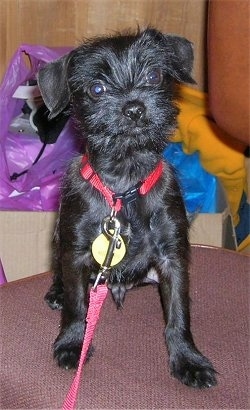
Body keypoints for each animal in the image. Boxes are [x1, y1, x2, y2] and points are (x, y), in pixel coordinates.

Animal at [38, 28, 217, 388]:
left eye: (154, 76)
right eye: (97, 89)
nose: (134, 108)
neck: (124, 184)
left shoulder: (173, 257)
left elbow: (178, 314)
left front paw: (188, 359)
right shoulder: (75, 254)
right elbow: (77, 306)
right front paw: (72, 343)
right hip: (58, 239)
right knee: (60, 275)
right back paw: (56, 292)